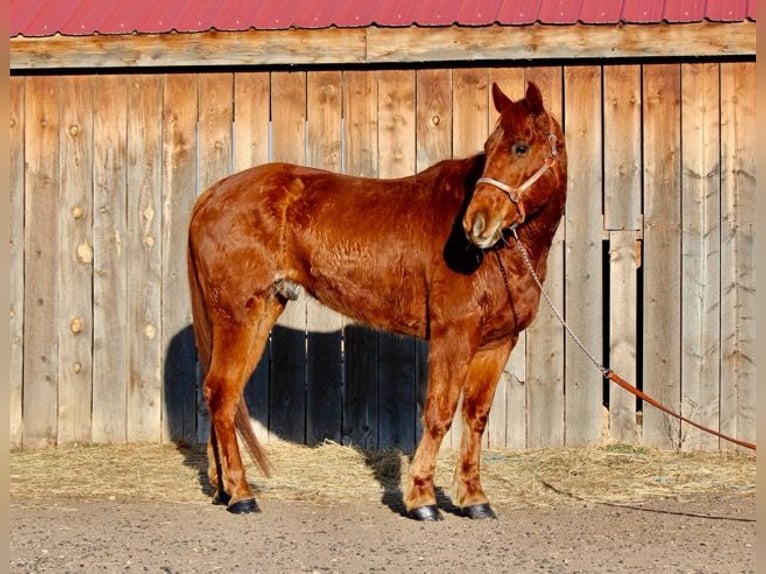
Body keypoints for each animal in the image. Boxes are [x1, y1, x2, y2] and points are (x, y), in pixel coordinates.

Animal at [187, 81, 568, 520]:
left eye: (521, 147)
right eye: (490, 148)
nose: (476, 224)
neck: (499, 256)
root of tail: (211, 195)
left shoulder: (497, 344)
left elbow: (476, 417)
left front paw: (474, 499)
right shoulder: (453, 337)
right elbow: (439, 414)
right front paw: (422, 499)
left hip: (262, 311)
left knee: (225, 394)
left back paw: (224, 489)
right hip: (237, 315)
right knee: (221, 391)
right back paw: (241, 493)